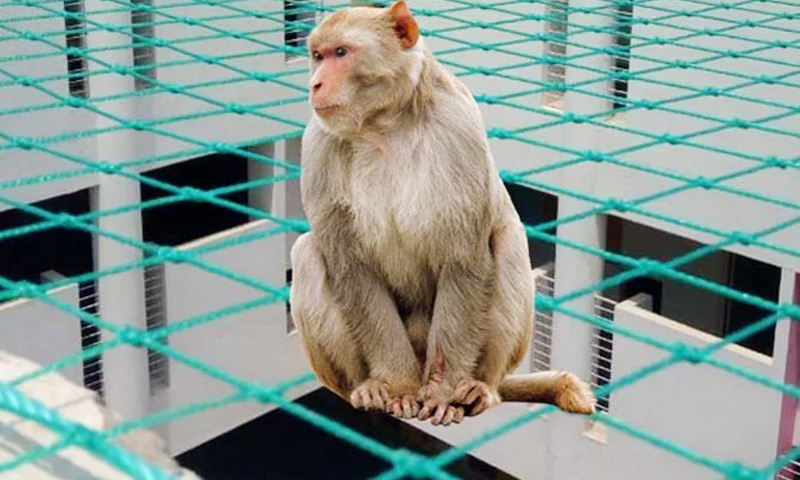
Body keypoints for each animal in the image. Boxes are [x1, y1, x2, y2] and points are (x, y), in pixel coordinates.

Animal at [289, 1, 596, 426]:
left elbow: (463, 259)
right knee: (308, 251)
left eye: (340, 53)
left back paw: (480, 390)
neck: (384, 126)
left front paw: (442, 392)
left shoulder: (458, 129)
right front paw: (398, 387)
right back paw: (366, 388)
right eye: (317, 56)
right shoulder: (318, 144)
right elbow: (351, 268)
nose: (315, 84)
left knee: (508, 241)